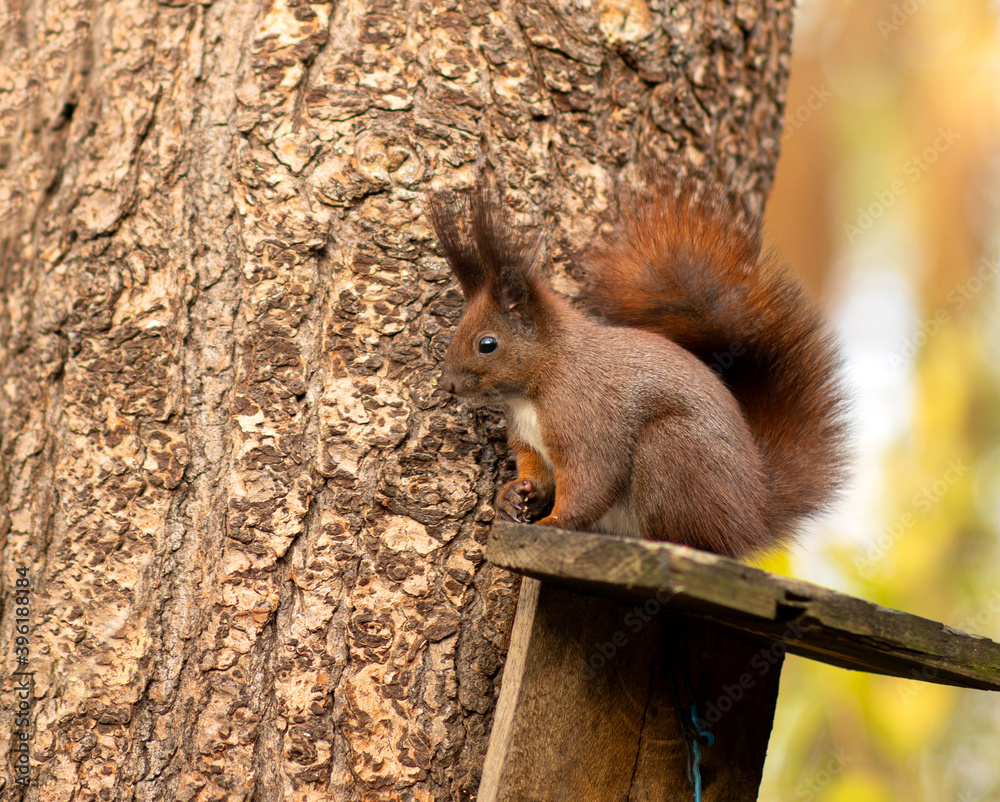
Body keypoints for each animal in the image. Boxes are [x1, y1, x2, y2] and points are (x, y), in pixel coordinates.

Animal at [429, 168, 848, 558]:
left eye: (487, 344)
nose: (446, 383)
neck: (534, 386)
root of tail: (755, 514)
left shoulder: (586, 420)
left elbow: (591, 479)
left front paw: (553, 522)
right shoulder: (530, 443)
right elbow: (538, 472)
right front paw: (514, 494)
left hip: (670, 451)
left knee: (693, 537)